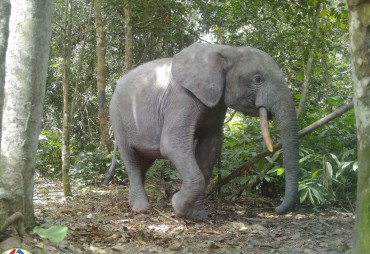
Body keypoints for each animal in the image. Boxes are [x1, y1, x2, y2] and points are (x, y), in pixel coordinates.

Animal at [105, 42, 300, 220]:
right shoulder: (181, 98)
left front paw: (197, 215)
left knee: (144, 162)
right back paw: (141, 208)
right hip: (117, 117)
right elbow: (171, 144)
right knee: (131, 158)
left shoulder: (216, 105)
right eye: (258, 79)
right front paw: (178, 206)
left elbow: (210, 146)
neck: (226, 50)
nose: (276, 209)